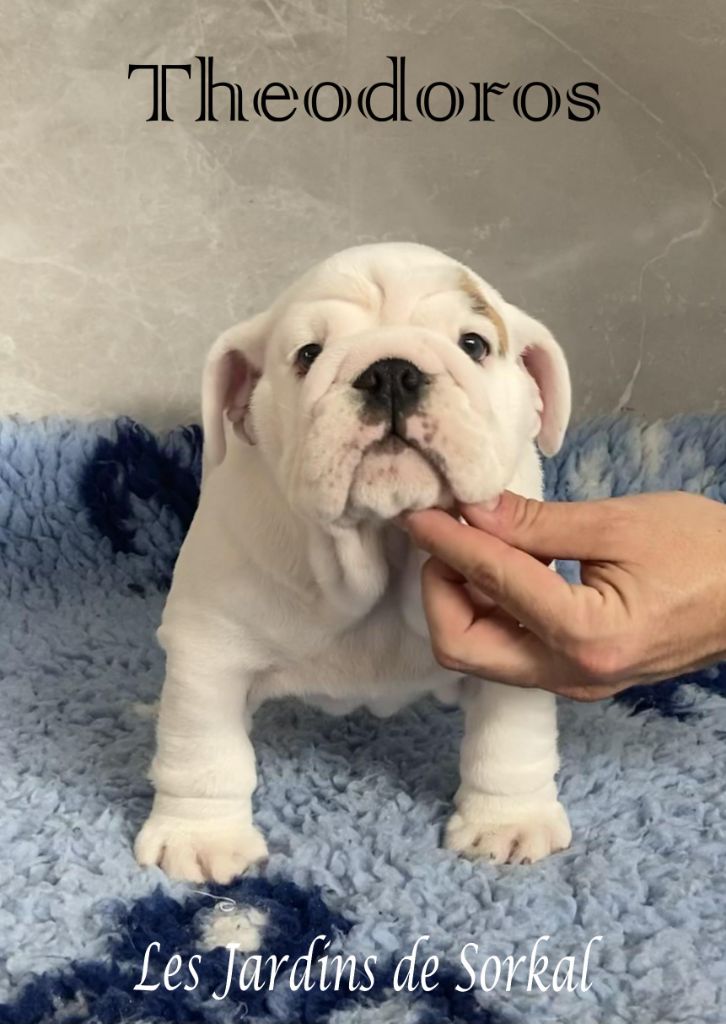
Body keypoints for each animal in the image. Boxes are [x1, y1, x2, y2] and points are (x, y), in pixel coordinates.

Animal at [135, 242, 573, 883]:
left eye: (474, 344)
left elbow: (509, 740)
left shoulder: (519, 636)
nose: (391, 371)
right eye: (308, 355)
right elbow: (204, 751)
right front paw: (201, 837)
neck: (381, 548)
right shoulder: (207, 650)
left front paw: (507, 822)